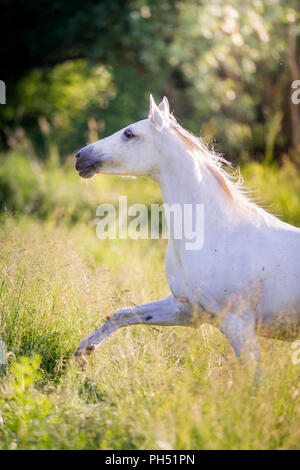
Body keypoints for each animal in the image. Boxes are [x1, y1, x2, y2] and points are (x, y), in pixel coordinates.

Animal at [74, 96, 300, 374]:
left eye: (129, 133)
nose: (81, 156)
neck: (217, 233)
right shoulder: (185, 309)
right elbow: (123, 313)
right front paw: (84, 352)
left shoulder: (238, 324)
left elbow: (254, 376)